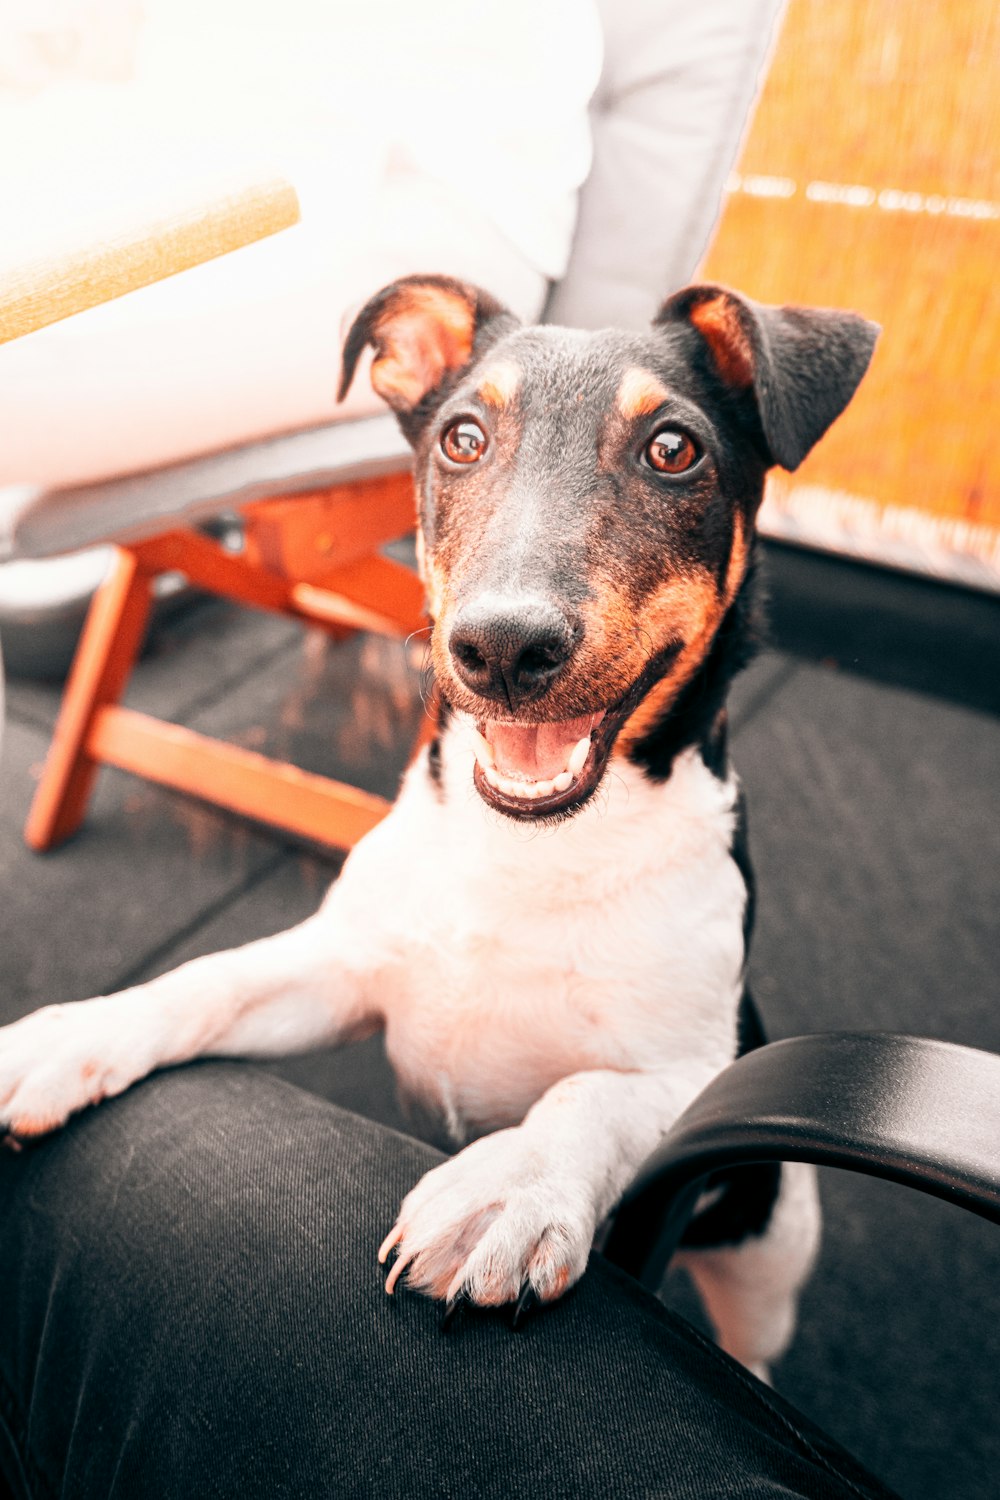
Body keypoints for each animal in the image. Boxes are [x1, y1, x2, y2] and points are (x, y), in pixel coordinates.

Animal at [0, 276, 875, 1374]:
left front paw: (505, 1187)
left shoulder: (691, 1072)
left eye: (673, 449)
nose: (502, 648)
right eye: (462, 437)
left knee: (752, 1331)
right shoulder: (341, 968)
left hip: (769, 1240)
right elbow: (205, 981)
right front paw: (69, 1037)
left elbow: (585, 1096)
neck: (529, 849)